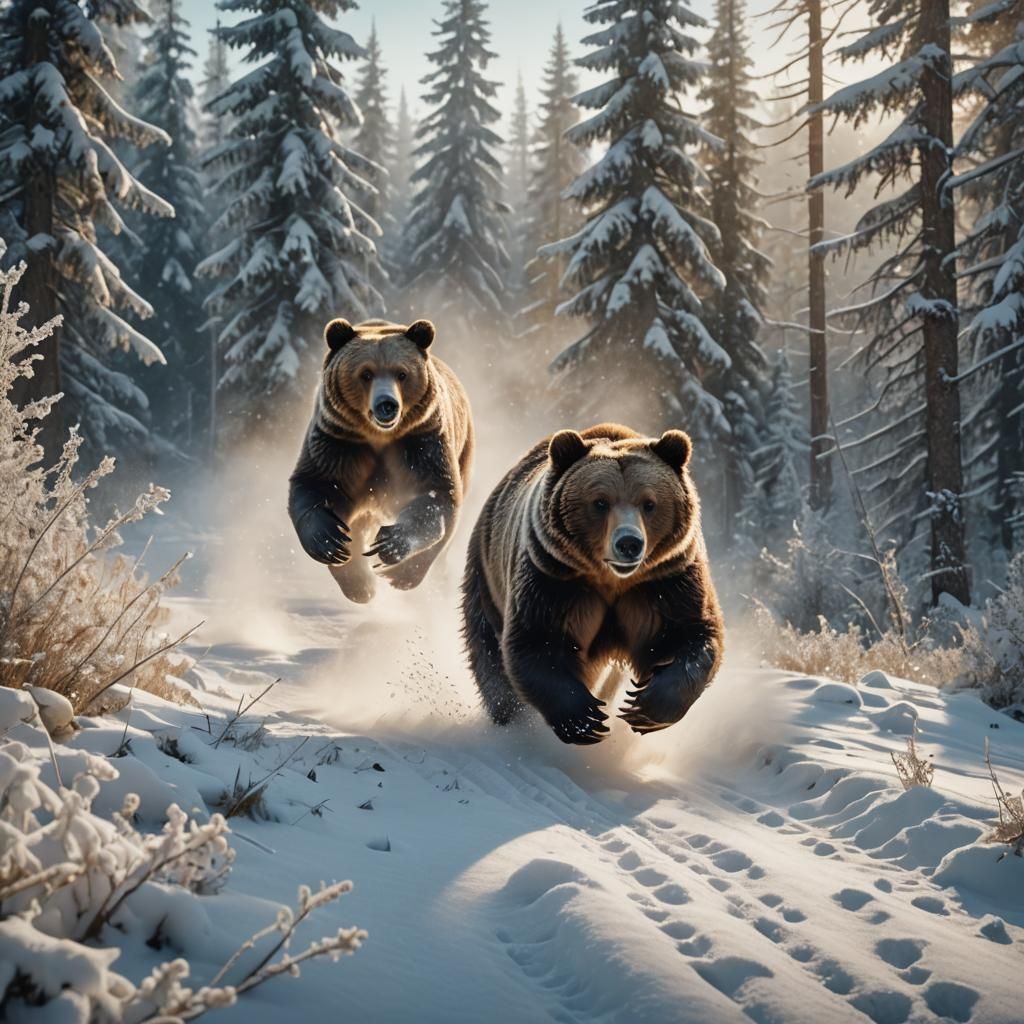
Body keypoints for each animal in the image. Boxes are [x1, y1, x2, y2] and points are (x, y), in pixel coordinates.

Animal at [289, 317, 473, 603]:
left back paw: (401, 576)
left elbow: (436, 494)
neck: (379, 436)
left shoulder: (421, 442)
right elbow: (315, 484)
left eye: (402, 373)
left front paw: (390, 544)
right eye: (366, 373)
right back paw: (360, 585)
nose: (387, 404)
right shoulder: (339, 443)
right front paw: (330, 540)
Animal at [460, 423, 723, 745]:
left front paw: (644, 707)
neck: (611, 579)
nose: (629, 543)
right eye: (600, 502)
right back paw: (508, 717)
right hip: (487, 576)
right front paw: (584, 719)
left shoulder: (665, 582)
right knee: (489, 654)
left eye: (649, 504)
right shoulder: (554, 579)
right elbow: (537, 640)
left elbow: (691, 634)